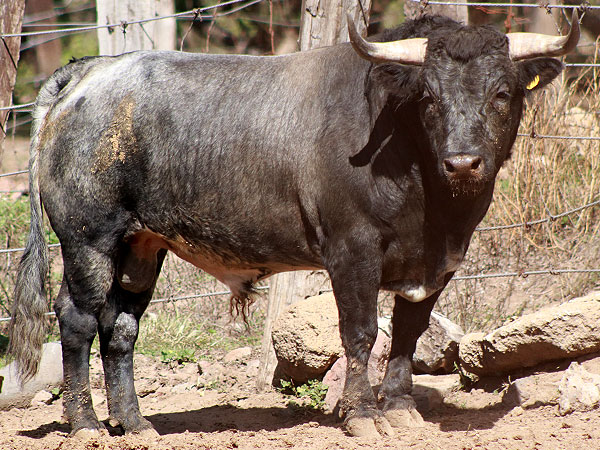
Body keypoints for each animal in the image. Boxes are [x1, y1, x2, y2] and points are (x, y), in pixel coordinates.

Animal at [9, 13, 580, 436]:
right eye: (430, 98)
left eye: (502, 93)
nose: (463, 163)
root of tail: (90, 72)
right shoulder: (353, 251)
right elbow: (361, 332)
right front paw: (363, 416)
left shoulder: (436, 264)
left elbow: (408, 334)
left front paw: (400, 410)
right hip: (89, 240)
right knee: (78, 319)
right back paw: (85, 424)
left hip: (140, 247)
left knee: (120, 327)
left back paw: (135, 424)